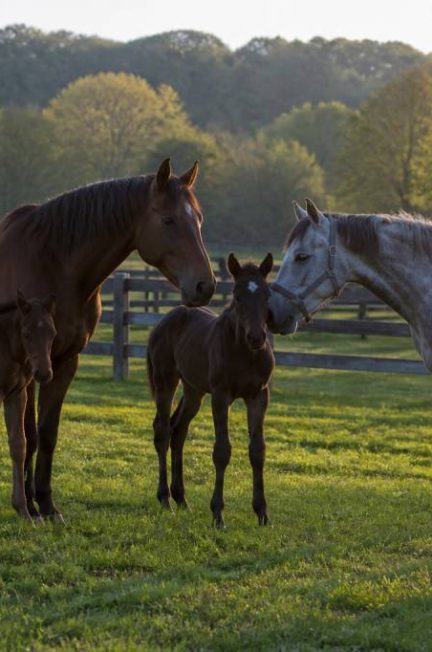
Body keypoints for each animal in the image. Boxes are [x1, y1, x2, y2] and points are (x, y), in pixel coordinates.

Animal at [0, 159, 215, 521]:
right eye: (168, 220)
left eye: (199, 219)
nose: (205, 285)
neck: (54, 264)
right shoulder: (29, 367)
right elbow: (28, 434)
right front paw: (30, 503)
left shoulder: (64, 361)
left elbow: (47, 434)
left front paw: (45, 504)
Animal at [147, 253, 274, 527]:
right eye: (237, 295)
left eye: (267, 293)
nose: (256, 337)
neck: (245, 353)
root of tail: (165, 320)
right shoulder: (221, 395)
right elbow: (222, 451)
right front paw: (217, 514)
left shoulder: (258, 396)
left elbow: (257, 450)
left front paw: (262, 513)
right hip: (165, 380)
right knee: (162, 431)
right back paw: (165, 499)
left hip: (193, 390)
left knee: (178, 430)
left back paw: (182, 499)